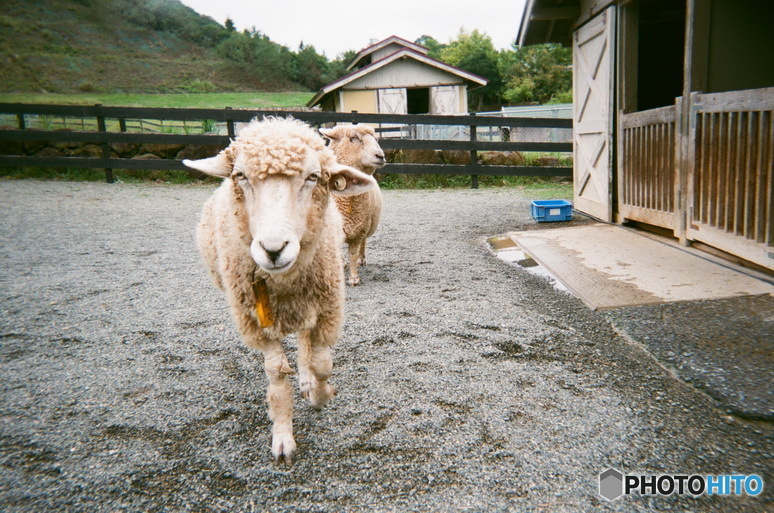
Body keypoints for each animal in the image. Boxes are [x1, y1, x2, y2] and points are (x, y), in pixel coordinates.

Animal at [183, 118, 376, 462]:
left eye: (314, 177)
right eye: (240, 176)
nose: (273, 250)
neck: (285, 282)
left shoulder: (328, 310)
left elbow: (322, 364)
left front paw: (320, 395)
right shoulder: (257, 324)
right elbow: (276, 377)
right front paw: (283, 434)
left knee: (304, 342)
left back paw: (307, 379)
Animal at [320, 123, 386, 284]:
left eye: (375, 139)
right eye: (353, 138)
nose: (380, 156)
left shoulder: (359, 230)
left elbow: (353, 253)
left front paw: (354, 278)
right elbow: (339, 251)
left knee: (364, 243)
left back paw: (362, 259)